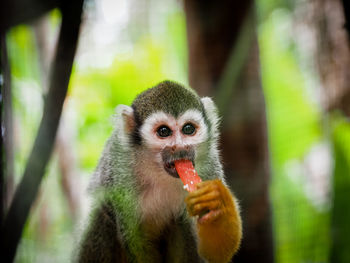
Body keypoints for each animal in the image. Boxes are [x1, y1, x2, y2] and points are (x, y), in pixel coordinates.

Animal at [77, 81, 242, 263]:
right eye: (164, 131)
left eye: (188, 129)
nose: (180, 147)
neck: (158, 170)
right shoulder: (120, 168)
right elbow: (134, 239)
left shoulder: (209, 164)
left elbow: (215, 253)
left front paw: (217, 200)